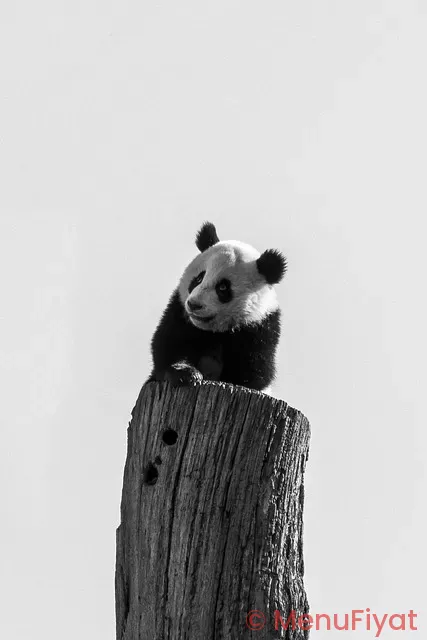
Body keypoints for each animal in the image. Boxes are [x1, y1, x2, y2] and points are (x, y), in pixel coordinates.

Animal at [149, 222, 287, 392]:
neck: (214, 331)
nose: (194, 304)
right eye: (199, 278)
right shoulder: (179, 312)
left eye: (222, 287)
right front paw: (185, 374)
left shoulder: (259, 328)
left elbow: (255, 372)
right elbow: (168, 344)